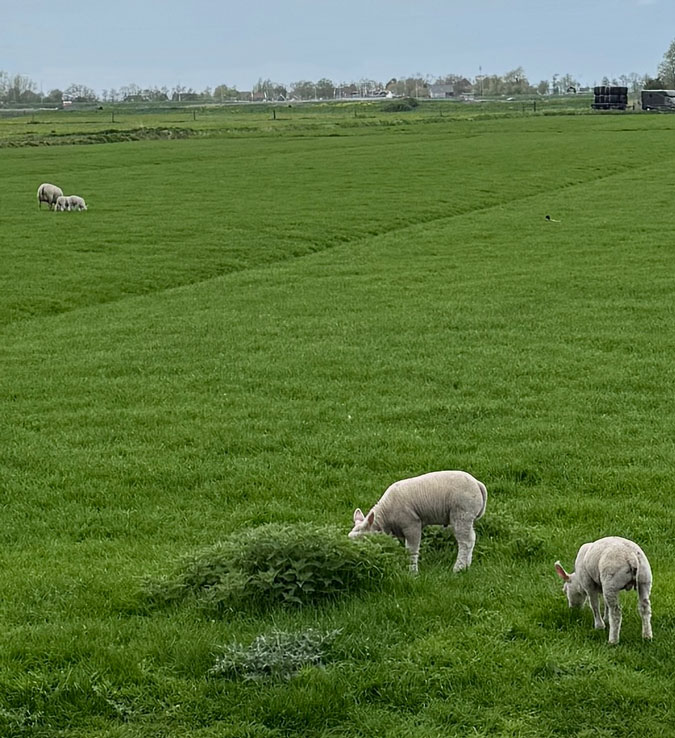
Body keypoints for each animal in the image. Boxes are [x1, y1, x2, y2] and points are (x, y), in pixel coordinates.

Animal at [349, 470, 487, 573]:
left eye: (363, 540)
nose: (355, 560)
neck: (385, 517)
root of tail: (477, 484)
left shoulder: (411, 524)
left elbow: (412, 550)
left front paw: (412, 572)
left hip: (462, 513)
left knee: (466, 542)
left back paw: (458, 568)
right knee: (471, 539)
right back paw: (466, 565)